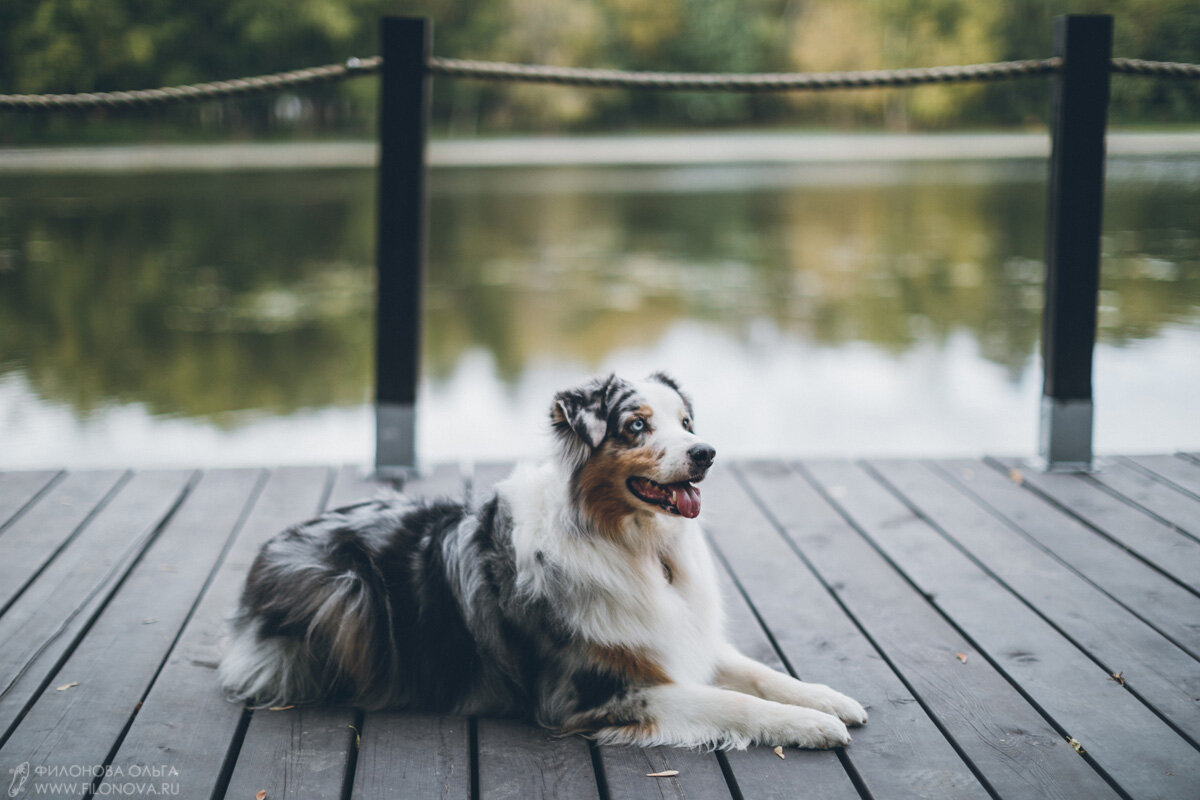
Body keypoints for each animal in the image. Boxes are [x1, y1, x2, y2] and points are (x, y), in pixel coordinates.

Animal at [220, 371, 868, 748]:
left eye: (686, 423)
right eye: (637, 426)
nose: (706, 452)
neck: (635, 546)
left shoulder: (677, 635)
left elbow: (757, 673)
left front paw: (827, 699)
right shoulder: (592, 694)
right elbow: (730, 700)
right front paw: (813, 726)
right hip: (347, 588)